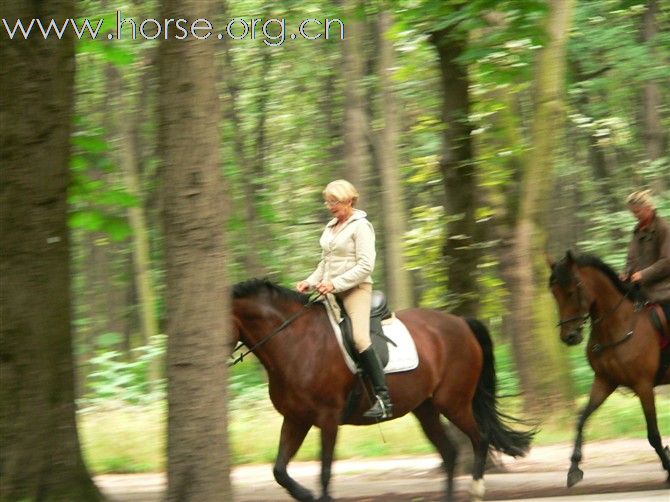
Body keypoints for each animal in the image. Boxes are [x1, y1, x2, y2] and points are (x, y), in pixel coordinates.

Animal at [232, 278, 536, 502]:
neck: (296, 343)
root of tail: (461, 322)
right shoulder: (295, 419)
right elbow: (279, 471)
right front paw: (305, 494)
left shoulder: (327, 419)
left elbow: (325, 472)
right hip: (425, 409)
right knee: (449, 452)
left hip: (454, 403)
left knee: (480, 438)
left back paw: (476, 491)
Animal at [552, 251, 670, 486]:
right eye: (554, 293)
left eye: (573, 290)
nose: (569, 337)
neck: (617, 327)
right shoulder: (604, 381)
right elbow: (581, 418)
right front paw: (574, 468)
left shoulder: (643, 386)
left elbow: (653, 434)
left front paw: (668, 466)